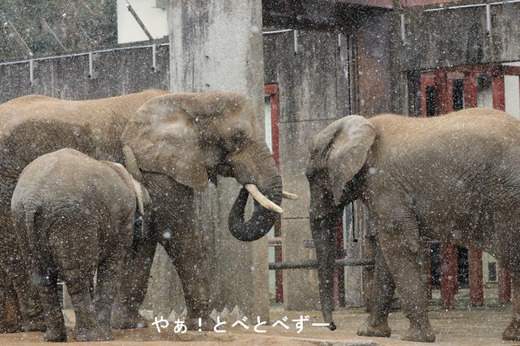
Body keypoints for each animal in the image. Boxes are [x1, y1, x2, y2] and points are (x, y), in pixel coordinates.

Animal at [11, 147, 151, 342]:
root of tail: (32, 198)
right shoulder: (123, 219)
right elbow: (112, 268)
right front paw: (107, 337)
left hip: (22, 219)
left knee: (41, 275)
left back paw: (54, 338)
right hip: (70, 218)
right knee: (75, 276)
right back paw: (94, 337)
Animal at [304, 109, 520, 344]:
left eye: (309, 175)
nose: (332, 326)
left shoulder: (384, 184)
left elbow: (398, 247)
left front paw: (416, 338)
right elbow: (386, 257)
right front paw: (370, 333)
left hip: (506, 201)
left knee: (511, 258)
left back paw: (510, 334)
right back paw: (512, 334)